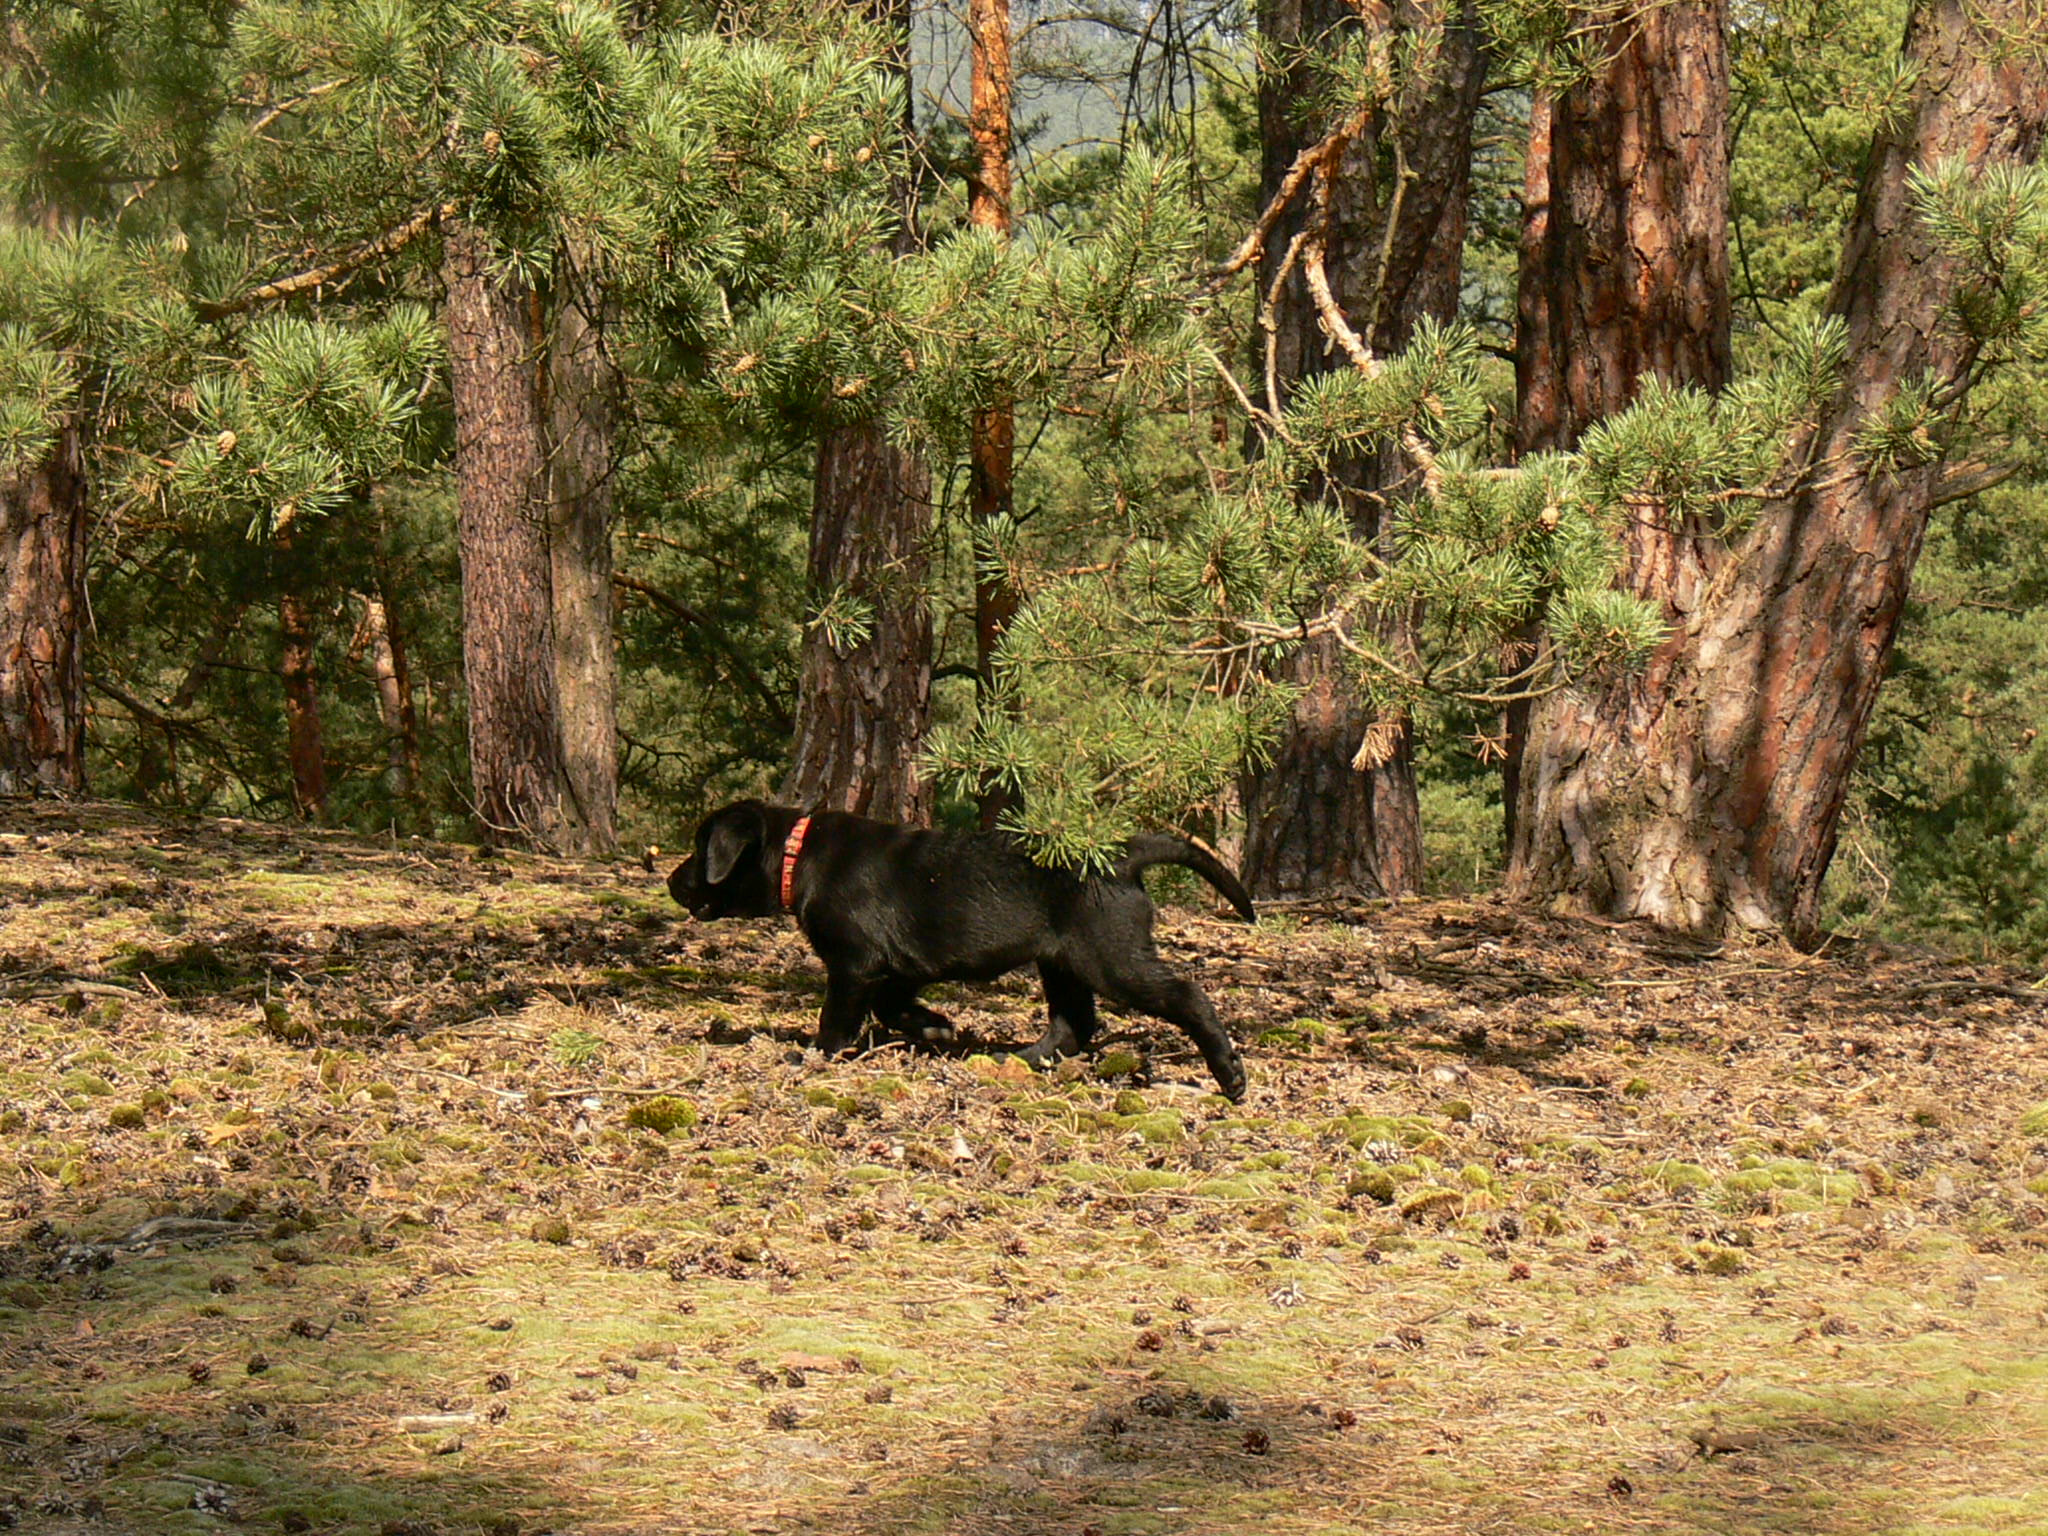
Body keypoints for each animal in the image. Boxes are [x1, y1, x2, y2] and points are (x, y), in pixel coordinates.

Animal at [663, 806, 1253, 1105]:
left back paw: (1230, 1075)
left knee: (1187, 995)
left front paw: (812, 1056)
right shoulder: (895, 969)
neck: (797, 854)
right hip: (1060, 960)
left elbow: (836, 1019)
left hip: (1111, 958)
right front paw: (934, 1027)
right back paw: (1018, 1060)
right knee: (1073, 1024)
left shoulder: (854, 964)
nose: (670, 881)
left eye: (699, 848)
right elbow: (892, 1006)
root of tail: (1124, 855)